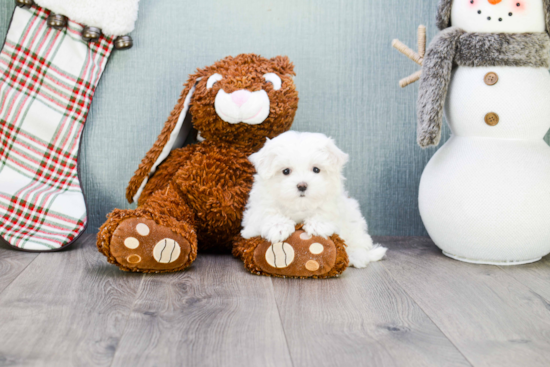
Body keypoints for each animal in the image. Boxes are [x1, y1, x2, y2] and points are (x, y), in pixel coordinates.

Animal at [242, 132, 388, 268]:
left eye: (316, 169)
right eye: (286, 171)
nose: (302, 185)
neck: (300, 206)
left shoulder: (334, 203)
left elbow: (326, 211)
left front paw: (317, 225)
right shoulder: (255, 213)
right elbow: (267, 213)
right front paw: (279, 227)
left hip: (354, 221)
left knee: (359, 242)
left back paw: (356, 256)